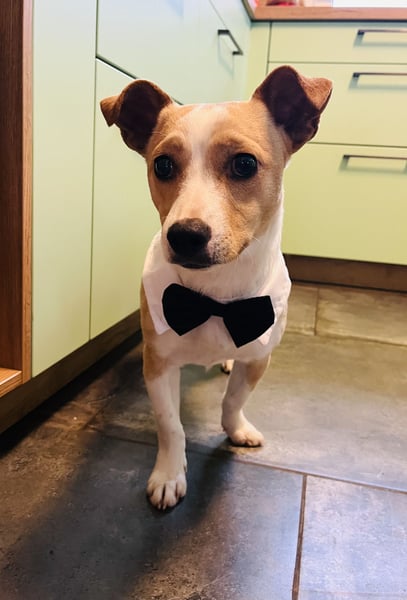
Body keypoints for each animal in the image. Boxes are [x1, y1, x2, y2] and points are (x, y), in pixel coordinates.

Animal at [101, 66, 332, 509]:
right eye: (163, 165)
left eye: (244, 164)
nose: (185, 235)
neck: (213, 297)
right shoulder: (159, 365)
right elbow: (170, 425)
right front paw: (169, 475)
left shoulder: (258, 358)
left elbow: (233, 400)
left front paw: (236, 429)